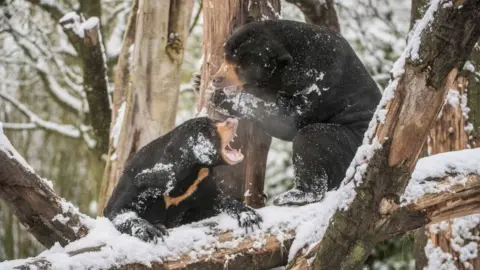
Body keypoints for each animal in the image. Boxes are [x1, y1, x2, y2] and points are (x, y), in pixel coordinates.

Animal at [104, 117, 262, 244]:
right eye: (210, 132)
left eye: (215, 121)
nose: (232, 120)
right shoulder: (138, 186)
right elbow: (120, 211)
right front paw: (150, 230)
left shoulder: (201, 186)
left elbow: (219, 199)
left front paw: (249, 216)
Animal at [212, 20, 380, 206]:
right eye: (226, 57)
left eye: (242, 65)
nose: (216, 79)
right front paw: (199, 82)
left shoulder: (320, 83)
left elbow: (289, 120)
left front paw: (223, 98)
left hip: (352, 144)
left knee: (313, 138)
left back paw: (295, 195)